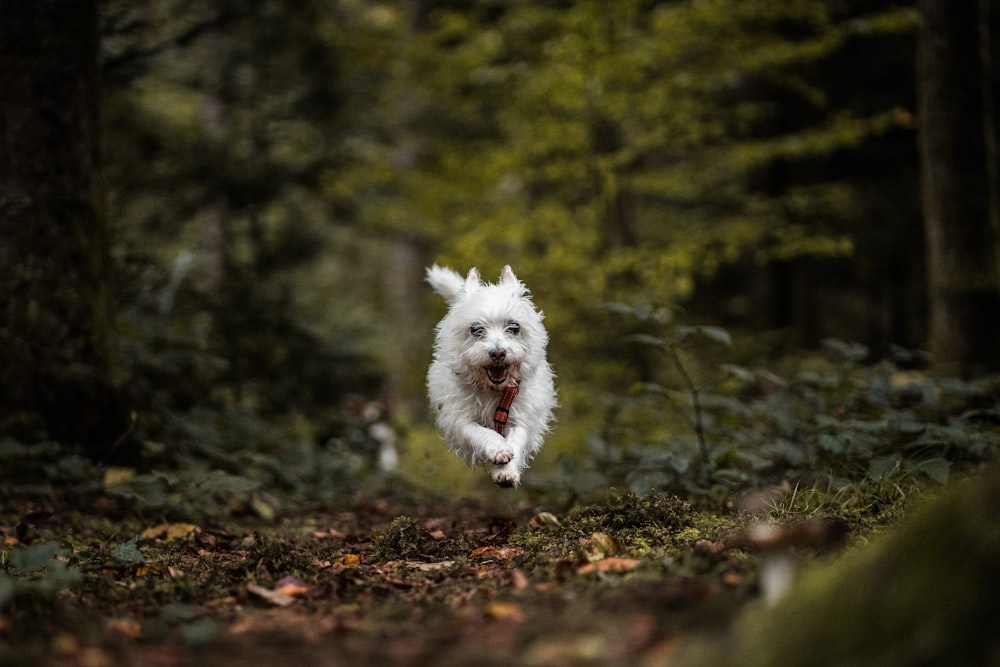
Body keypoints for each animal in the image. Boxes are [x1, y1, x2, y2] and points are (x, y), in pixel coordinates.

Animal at [426, 264, 560, 488]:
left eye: (514, 327)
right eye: (475, 329)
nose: (498, 353)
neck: (494, 390)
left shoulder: (522, 416)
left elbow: (516, 441)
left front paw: (506, 472)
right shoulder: (460, 419)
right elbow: (481, 433)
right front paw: (498, 449)